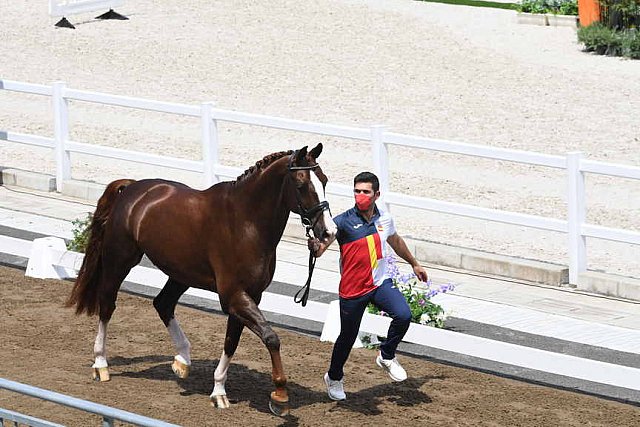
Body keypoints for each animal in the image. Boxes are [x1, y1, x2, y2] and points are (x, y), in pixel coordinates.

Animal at [65, 144, 338, 414]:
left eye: (324, 180)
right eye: (301, 184)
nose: (329, 233)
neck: (245, 222)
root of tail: (132, 188)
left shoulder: (249, 296)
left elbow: (231, 342)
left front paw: (219, 392)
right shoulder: (234, 296)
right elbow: (271, 338)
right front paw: (280, 395)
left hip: (180, 274)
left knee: (163, 303)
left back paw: (182, 361)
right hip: (119, 261)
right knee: (107, 305)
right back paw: (101, 365)